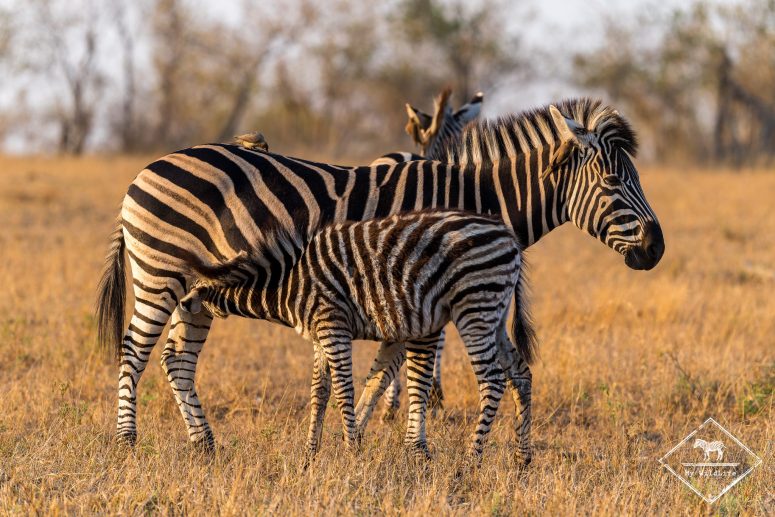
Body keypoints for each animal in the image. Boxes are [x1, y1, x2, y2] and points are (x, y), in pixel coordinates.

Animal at [176, 210, 528, 461]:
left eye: (195, 287)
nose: (181, 304)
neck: (288, 282)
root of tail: (509, 237)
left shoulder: (333, 327)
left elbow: (344, 390)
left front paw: (351, 452)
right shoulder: (319, 336)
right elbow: (319, 393)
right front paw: (310, 454)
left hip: (474, 307)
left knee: (493, 380)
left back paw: (472, 458)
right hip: (494, 313)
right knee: (521, 373)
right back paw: (522, 457)